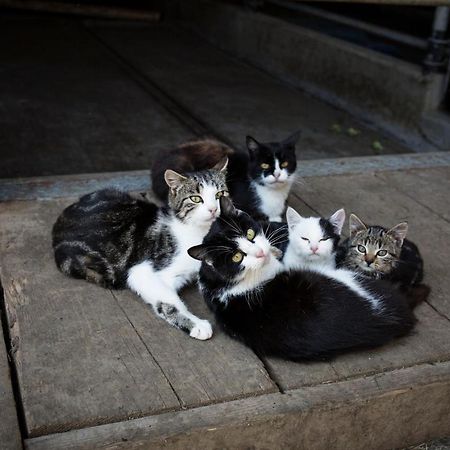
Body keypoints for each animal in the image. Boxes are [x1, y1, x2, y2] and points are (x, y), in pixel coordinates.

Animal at [52, 163, 229, 342]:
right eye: (195, 198)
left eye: (220, 194)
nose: (213, 209)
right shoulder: (140, 271)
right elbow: (168, 300)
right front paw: (196, 324)